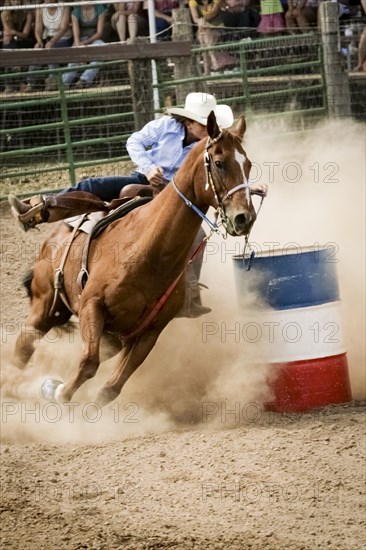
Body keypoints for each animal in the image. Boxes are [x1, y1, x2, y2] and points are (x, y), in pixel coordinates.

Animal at [12, 112, 258, 408]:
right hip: (46, 305)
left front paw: (67, 393)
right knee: (23, 346)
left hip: (108, 336)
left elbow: (110, 388)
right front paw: (56, 390)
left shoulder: (148, 332)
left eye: (248, 165)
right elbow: (88, 363)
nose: (244, 218)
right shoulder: (92, 306)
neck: (147, 252)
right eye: (219, 163)